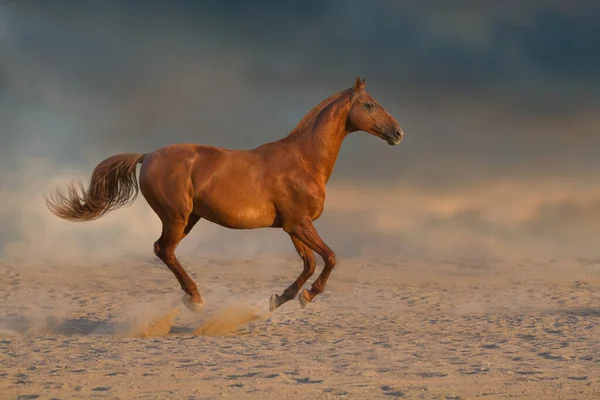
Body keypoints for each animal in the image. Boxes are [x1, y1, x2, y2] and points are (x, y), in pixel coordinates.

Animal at [47, 76, 404, 312]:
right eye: (370, 104)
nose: (398, 133)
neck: (302, 159)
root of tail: (147, 156)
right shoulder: (299, 224)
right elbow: (328, 258)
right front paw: (308, 296)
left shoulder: (293, 226)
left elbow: (308, 264)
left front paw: (280, 299)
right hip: (177, 218)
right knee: (163, 250)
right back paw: (195, 299)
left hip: (188, 219)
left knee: (164, 251)